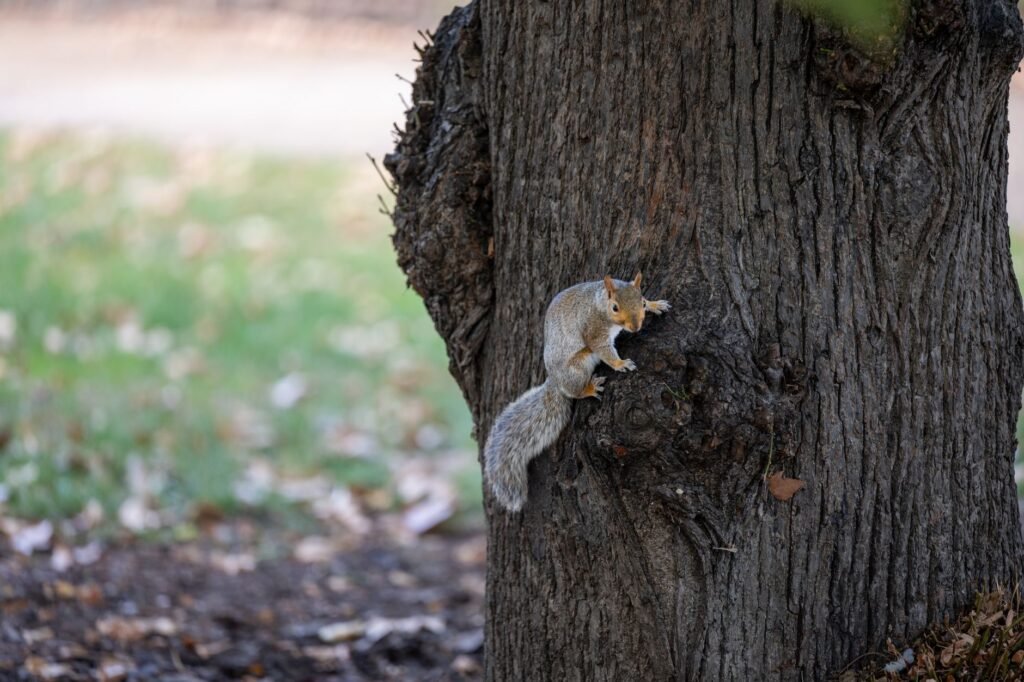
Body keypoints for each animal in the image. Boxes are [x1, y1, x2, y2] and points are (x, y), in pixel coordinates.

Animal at [483, 272, 670, 512]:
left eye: (641, 301)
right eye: (615, 307)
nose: (636, 327)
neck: (599, 303)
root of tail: (555, 380)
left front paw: (656, 305)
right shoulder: (594, 330)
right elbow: (604, 350)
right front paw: (620, 364)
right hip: (578, 367)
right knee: (575, 391)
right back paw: (590, 388)